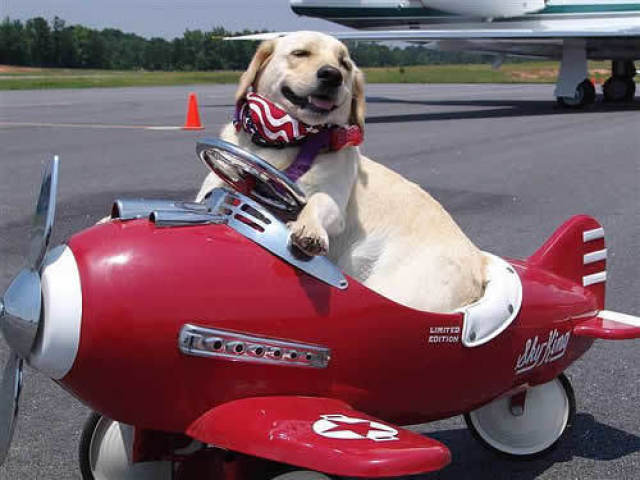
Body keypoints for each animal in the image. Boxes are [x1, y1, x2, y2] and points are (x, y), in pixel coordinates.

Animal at [195, 31, 484, 314]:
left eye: (344, 63)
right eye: (300, 53)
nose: (332, 75)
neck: (288, 143)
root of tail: (480, 263)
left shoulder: (333, 202)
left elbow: (317, 201)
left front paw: (309, 231)